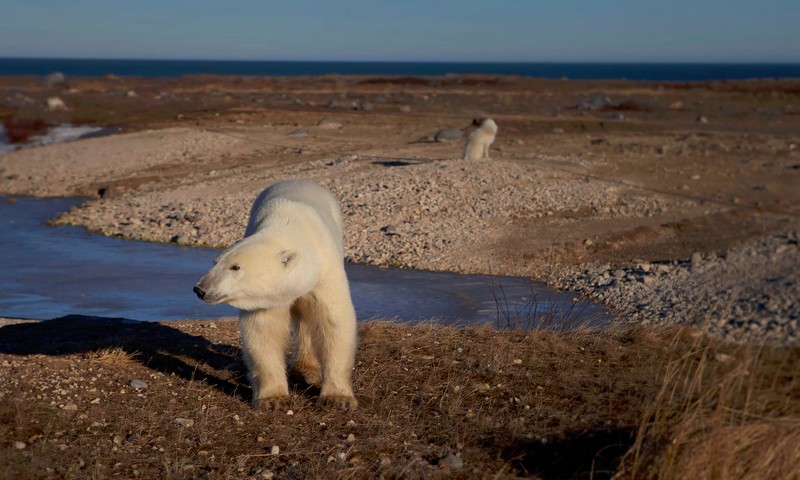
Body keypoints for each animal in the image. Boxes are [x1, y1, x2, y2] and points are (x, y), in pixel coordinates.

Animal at [194, 180, 356, 408]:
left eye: (235, 267)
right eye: (215, 262)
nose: (200, 289)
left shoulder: (325, 270)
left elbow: (333, 320)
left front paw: (338, 399)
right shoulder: (266, 299)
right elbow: (264, 330)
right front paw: (274, 399)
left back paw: (307, 369)